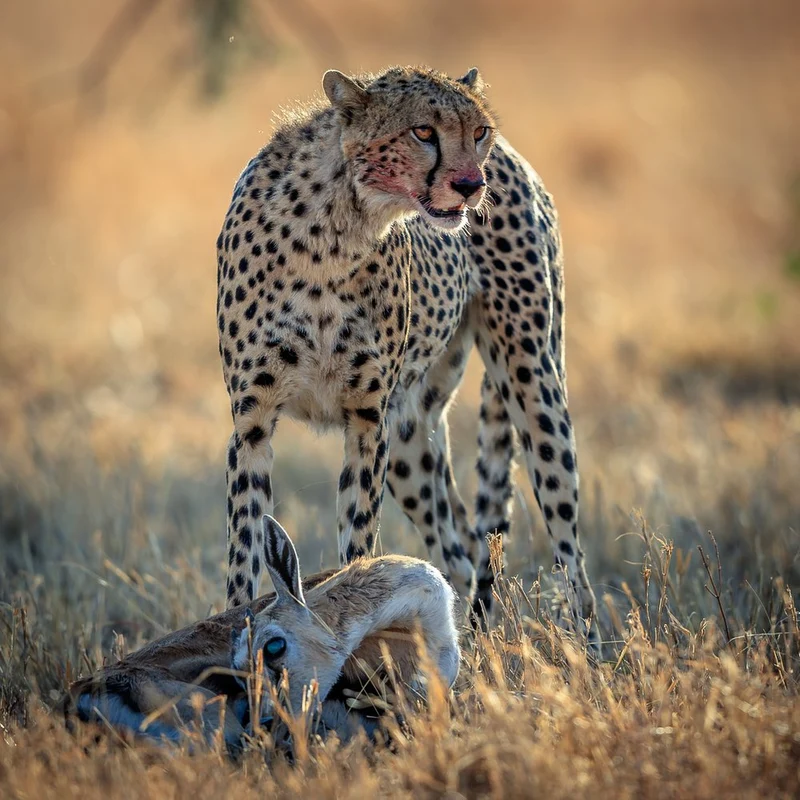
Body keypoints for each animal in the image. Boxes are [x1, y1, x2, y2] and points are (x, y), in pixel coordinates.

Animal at [216, 65, 599, 652]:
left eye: (478, 131)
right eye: (422, 132)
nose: (471, 186)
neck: (336, 228)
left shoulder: (367, 422)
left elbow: (357, 545)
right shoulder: (253, 421)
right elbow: (245, 549)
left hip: (533, 383)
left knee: (569, 554)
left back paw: (591, 655)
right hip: (411, 441)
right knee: (463, 550)